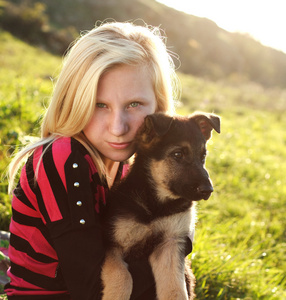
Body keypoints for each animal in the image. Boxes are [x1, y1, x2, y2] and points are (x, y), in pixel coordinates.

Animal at [101, 111, 220, 298]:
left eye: (203, 157)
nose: (208, 190)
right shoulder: (112, 244)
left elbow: (174, 289)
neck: (156, 206)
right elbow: (122, 277)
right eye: (178, 154)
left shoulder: (170, 244)